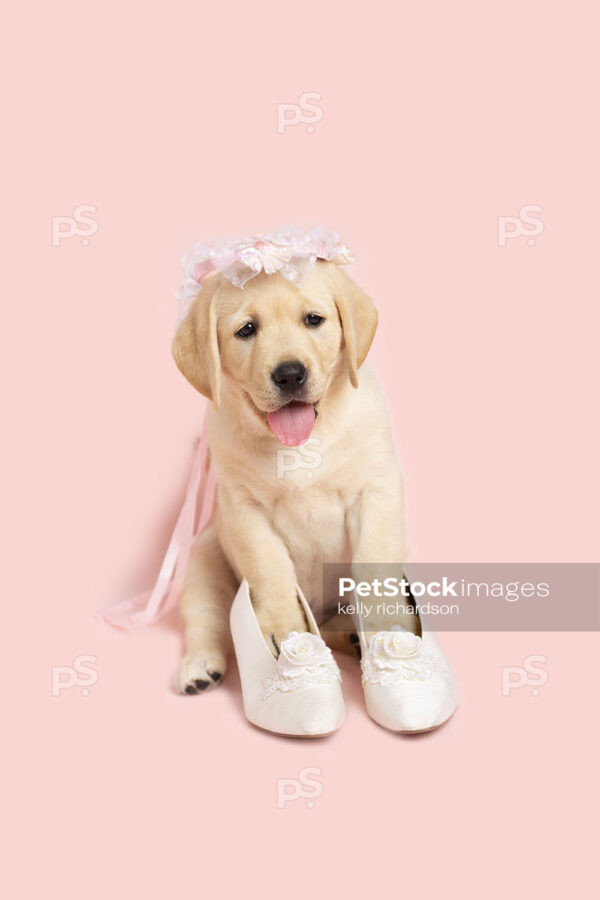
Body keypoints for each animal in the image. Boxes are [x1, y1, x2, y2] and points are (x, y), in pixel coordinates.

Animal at [171, 256, 410, 692]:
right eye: (247, 329)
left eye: (313, 320)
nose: (289, 374)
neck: (301, 444)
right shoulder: (243, 509)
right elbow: (269, 570)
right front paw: (286, 632)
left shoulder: (377, 492)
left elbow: (373, 563)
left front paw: (386, 628)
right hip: (204, 559)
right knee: (206, 621)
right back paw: (199, 667)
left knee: (334, 622)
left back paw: (352, 635)